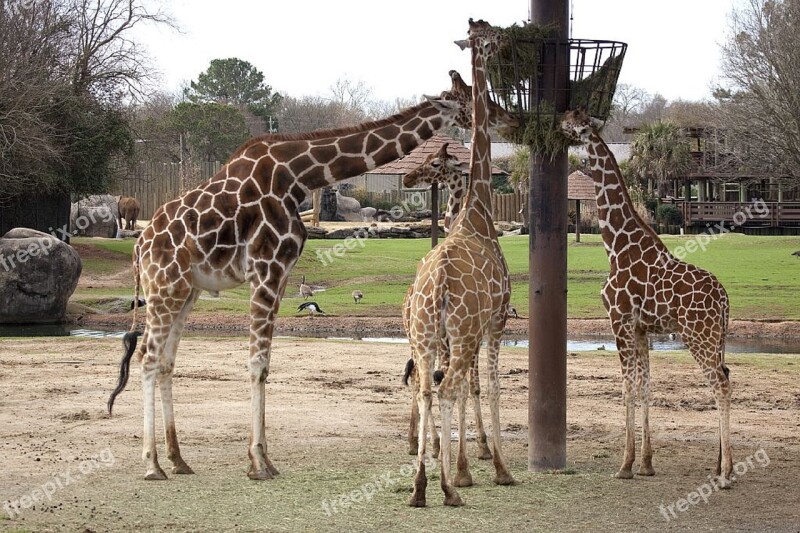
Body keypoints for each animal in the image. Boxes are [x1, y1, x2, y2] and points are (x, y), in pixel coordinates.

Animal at [398, 143, 490, 460]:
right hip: (425, 339)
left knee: (420, 378)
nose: (408, 177)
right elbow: (469, 384)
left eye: (435, 162)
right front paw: (481, 446)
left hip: (423, 339)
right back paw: (430, 444)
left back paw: (416, 442)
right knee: (421, 379)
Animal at [560, 109, 736, 486]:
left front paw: (624, 464)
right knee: (727, 376)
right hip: (718, 338)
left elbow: (626, 387)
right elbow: (644, 387)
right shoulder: (641, 329)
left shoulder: (620, 321)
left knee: (720, 385)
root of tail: (725, 299)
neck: (615, 246)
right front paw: (645, 463)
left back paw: (727, 473)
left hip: (698, 335)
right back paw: (717, 465)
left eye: (576, 120)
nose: (559, 121)